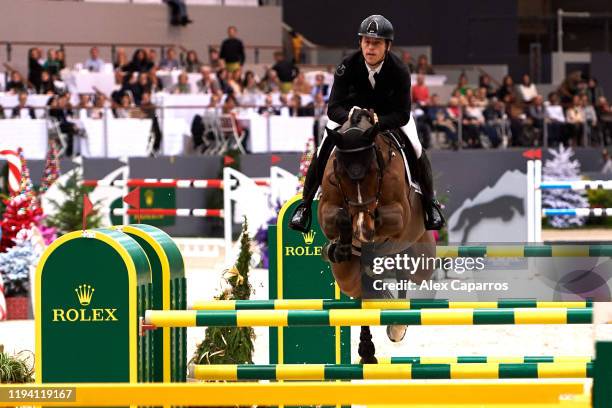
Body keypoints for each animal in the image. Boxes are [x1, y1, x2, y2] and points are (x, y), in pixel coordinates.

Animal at [316, 109, 436, 364]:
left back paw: (397, 327)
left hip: (421, 261)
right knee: (364, 295)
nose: (363, 227)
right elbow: (341, 217)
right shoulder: (327, 210)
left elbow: (381, 220)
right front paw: (342, 245)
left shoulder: (398, 215)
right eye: (340, 173)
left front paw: (365, 237)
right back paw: (367, 351)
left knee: (405, 277)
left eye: (374, 170)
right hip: (347, 277)